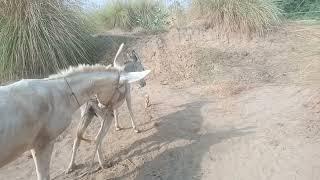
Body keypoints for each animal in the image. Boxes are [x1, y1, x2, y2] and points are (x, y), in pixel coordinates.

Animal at [0, 64, 150, 179]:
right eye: (123, 88)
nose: (109, 113)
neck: (62, 95)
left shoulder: (35, 145)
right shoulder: (43, 143)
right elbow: (43, 175)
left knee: (82, 138)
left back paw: (74, 166)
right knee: (95, 138)